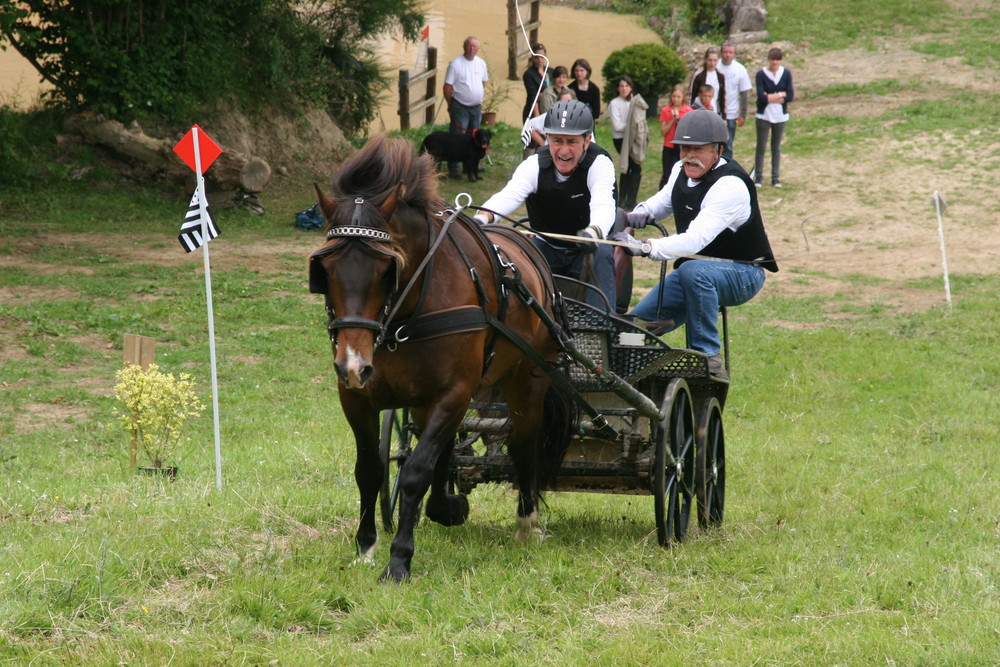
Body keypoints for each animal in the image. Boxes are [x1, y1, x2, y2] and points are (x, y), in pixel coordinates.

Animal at [308, 137, 576, 584]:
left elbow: (416, 470)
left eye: (387, 270)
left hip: (527, 382)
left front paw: (399, 560)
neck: (405, 311)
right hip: (424, 398)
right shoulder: (358, 398)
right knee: (445, 449)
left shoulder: (454, 392)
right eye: (324, 269)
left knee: (524, 444)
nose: (352, 364)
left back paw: (528, 524)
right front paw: (367, 547)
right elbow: (370, 469)